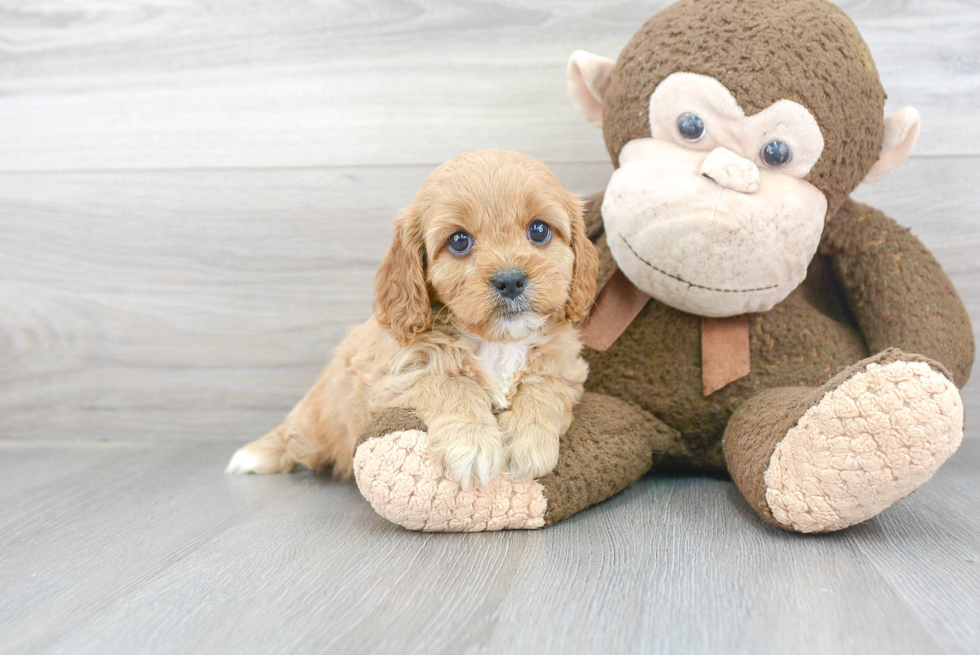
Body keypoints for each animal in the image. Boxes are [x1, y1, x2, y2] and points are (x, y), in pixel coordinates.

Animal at [228, 149, 596, 486]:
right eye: (459, 241)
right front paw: (472, 445)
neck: (497, 343)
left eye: (539, 230)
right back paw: (253, 455)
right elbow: (448, 383)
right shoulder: (395, 377)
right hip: (317, 419)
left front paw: (528, 442)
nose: (510, 280)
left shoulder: (565, 368)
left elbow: (542, 386)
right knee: (293, 435)